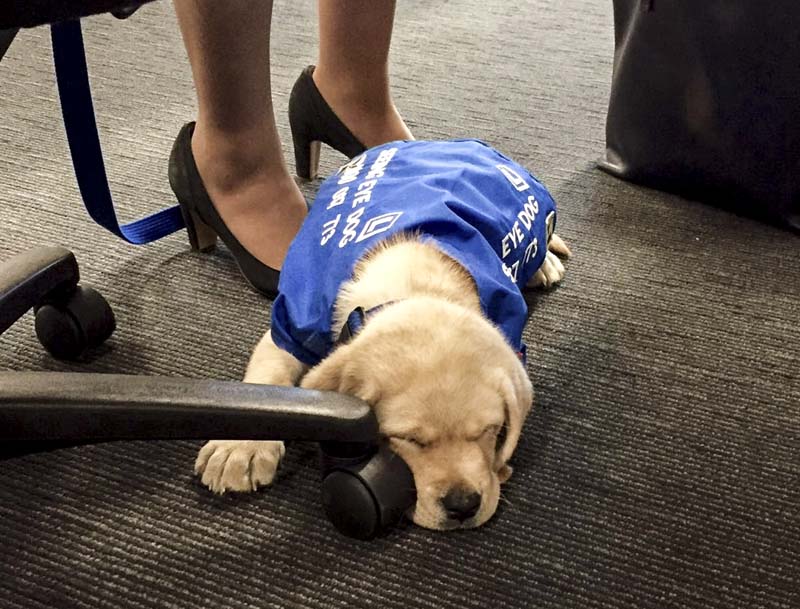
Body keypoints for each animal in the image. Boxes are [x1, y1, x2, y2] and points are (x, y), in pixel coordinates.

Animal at [194, 140, 568, 528]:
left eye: (490, 431)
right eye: (407, 439)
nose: (463, 505)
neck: (414, 283)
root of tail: (445, 143)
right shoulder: (292, 322)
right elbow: (267, 378)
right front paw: (238, 448)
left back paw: (543, 265)